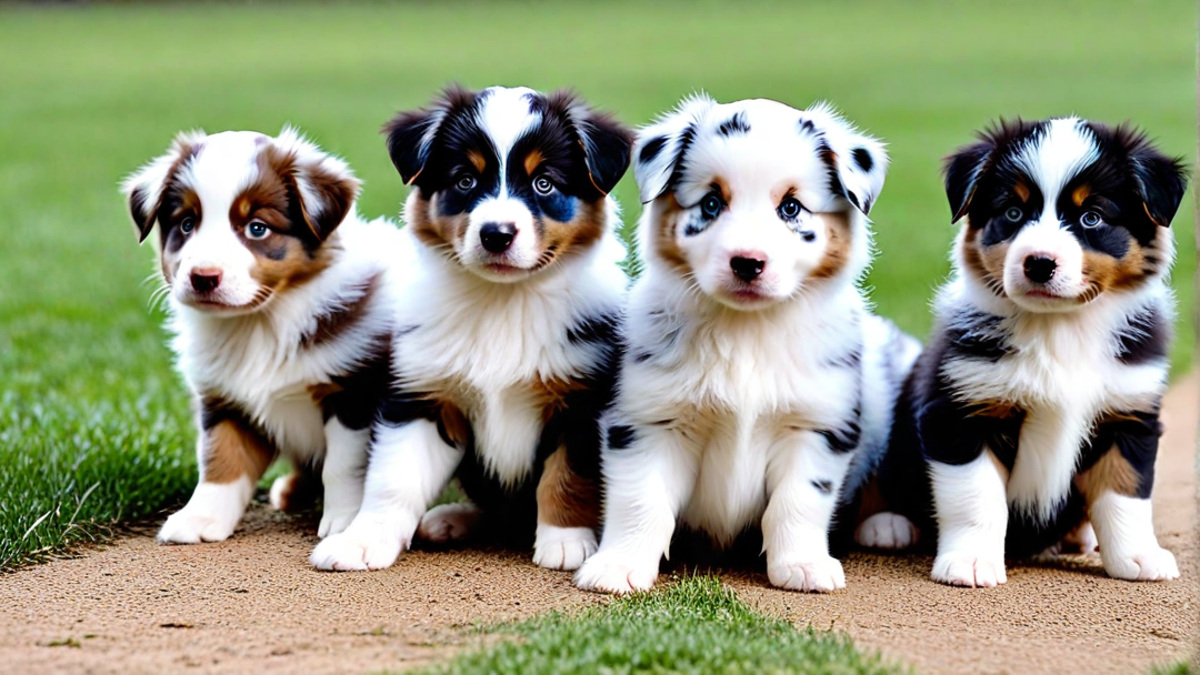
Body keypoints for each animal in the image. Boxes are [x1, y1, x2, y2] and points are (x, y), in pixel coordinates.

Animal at [124, 126, 400, 540]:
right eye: (187, 224)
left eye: (257, 228)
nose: (203, 277)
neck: (261, 324)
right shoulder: (224, 399)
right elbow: (219, 461)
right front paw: (200, 519)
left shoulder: (352, 392)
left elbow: (343, 465)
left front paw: (344, 522)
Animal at [309, 82, 633, 566]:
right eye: (465, 180)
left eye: (544, 183)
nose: (497, 234)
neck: (502, 302)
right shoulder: (423, 396)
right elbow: (393, 480)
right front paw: (361, 542)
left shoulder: (581, 399)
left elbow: (566, 475)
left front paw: (565, 542)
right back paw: (451, 519)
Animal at [571, 93, 916, 588]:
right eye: (712, 203)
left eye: (791, 208)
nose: (747, 263)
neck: (746, 330)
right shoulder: (648, 419)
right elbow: (641, 500)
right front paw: (619, 566)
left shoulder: (814, 425)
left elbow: (798, 503)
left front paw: (803, 566)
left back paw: (886, 525)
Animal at [873, 118, 1190, 586]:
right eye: (1013, 213)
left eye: (1091, 217)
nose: (1039, 263)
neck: (1059, 329)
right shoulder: (960, 411)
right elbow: (976, 498)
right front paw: (970, 562)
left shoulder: (1128, 413)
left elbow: (1125, 494)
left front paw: (1138, 557)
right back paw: (888, 525)